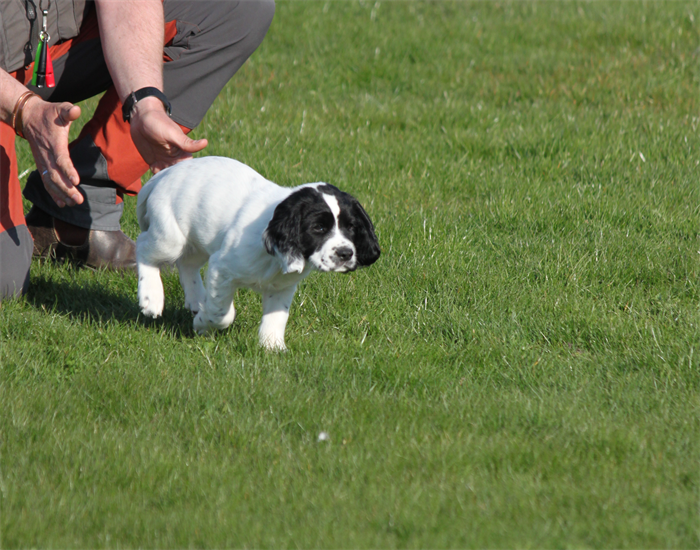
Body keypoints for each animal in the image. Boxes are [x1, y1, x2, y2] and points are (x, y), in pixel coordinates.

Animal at [135, 157, 380, 352]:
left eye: (351, 227)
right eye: (318, 228)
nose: (345, 254)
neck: (275, 257)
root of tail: (166, 173)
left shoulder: (282, 286)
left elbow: (277, 317)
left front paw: (272, 347)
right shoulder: (222, 267)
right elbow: (222, 313)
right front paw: (203, 323)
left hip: (197, 239)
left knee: (187, 264)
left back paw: (196, 299)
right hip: (171, 238)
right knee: (143, 246)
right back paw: (151, 298)